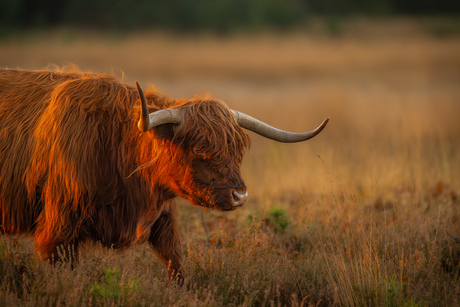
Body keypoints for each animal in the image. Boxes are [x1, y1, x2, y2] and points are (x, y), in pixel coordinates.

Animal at [0, 67, 330, 284]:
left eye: (237, 149)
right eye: (199, 149)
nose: (240, 195)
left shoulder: (163, 219)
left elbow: (177, 267)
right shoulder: (58, 230)